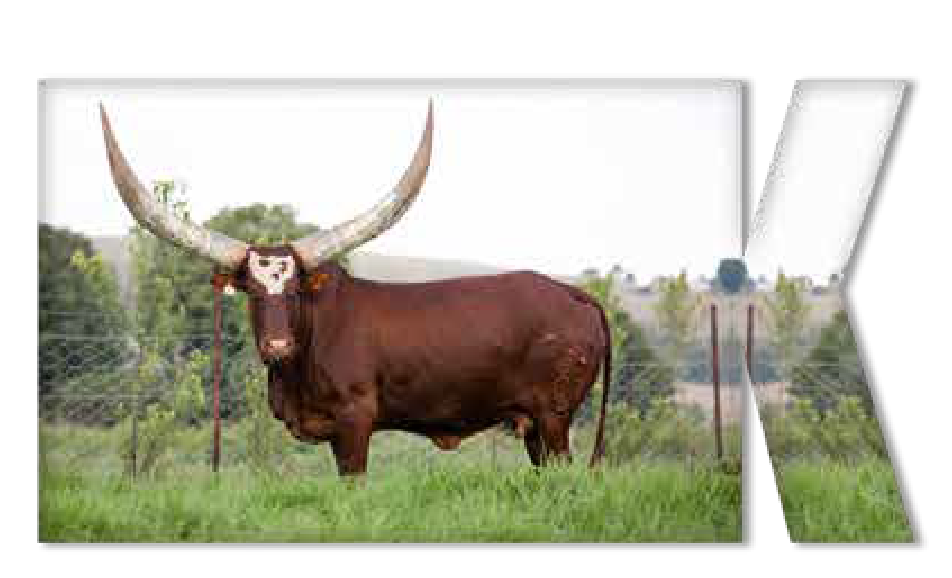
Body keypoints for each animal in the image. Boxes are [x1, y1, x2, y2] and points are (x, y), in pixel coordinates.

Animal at [100, 102, 611, 476]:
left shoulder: (355, 420)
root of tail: (575, 294)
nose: (278, 346)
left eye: (295, 289)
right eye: (252, 290)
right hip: (534, 426)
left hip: (554, 416)